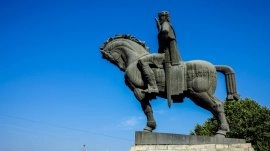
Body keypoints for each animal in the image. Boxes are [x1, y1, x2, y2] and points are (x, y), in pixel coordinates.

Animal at [100, 34, 239, 137]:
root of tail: (213, 66)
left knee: (217, 106)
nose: (121, 67)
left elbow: (147, 109)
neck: (135, 58)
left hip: (199, 93)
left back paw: (221, 132)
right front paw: (150, 127)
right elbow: (148, 108)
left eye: (108, 57)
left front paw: (149, 127)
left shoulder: (138, 91)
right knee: (215, 108)